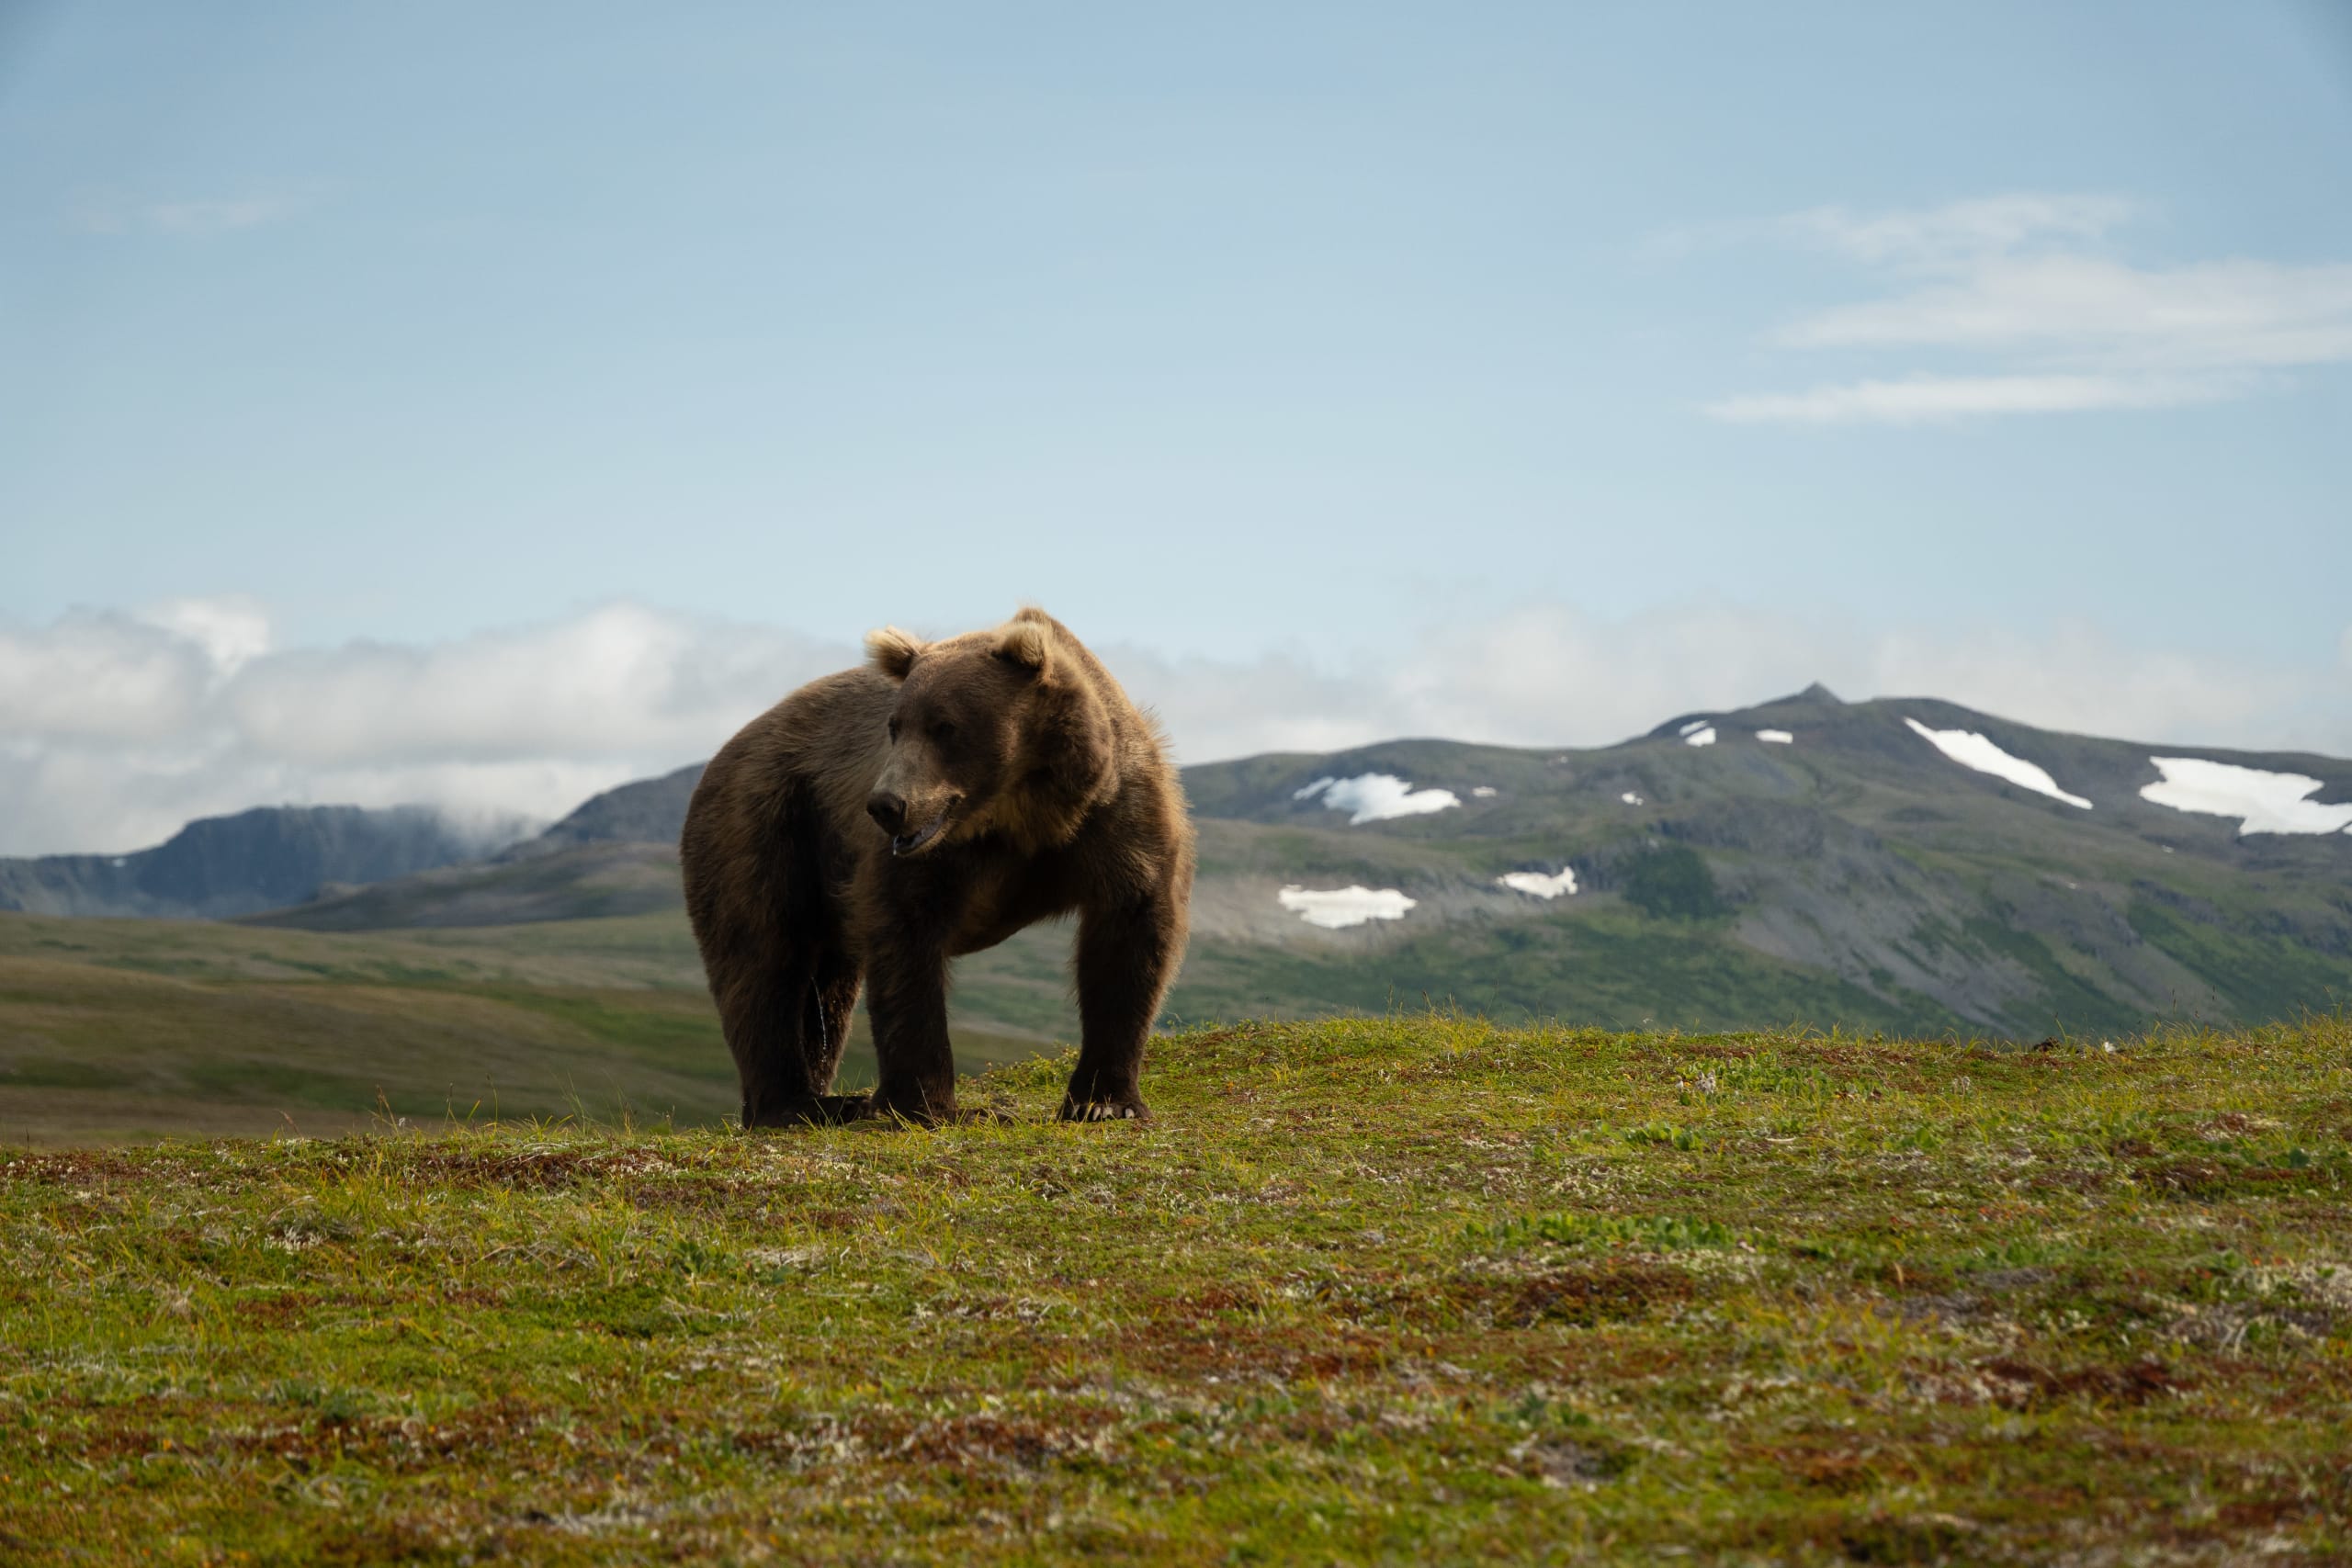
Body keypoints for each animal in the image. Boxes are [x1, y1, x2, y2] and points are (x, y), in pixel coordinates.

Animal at [679, 607, 1196, 1128]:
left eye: (944, 726)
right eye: (895, 725)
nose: (887, 805)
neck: (1023, 811)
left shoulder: (1116, 819)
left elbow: (1129, 936)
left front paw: (1104, 1102)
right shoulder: (925, 856)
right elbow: (905, 941)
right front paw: (934, 1105)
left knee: (825, 987)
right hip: (769, 824)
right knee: (762, 959)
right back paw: (800, 1103)